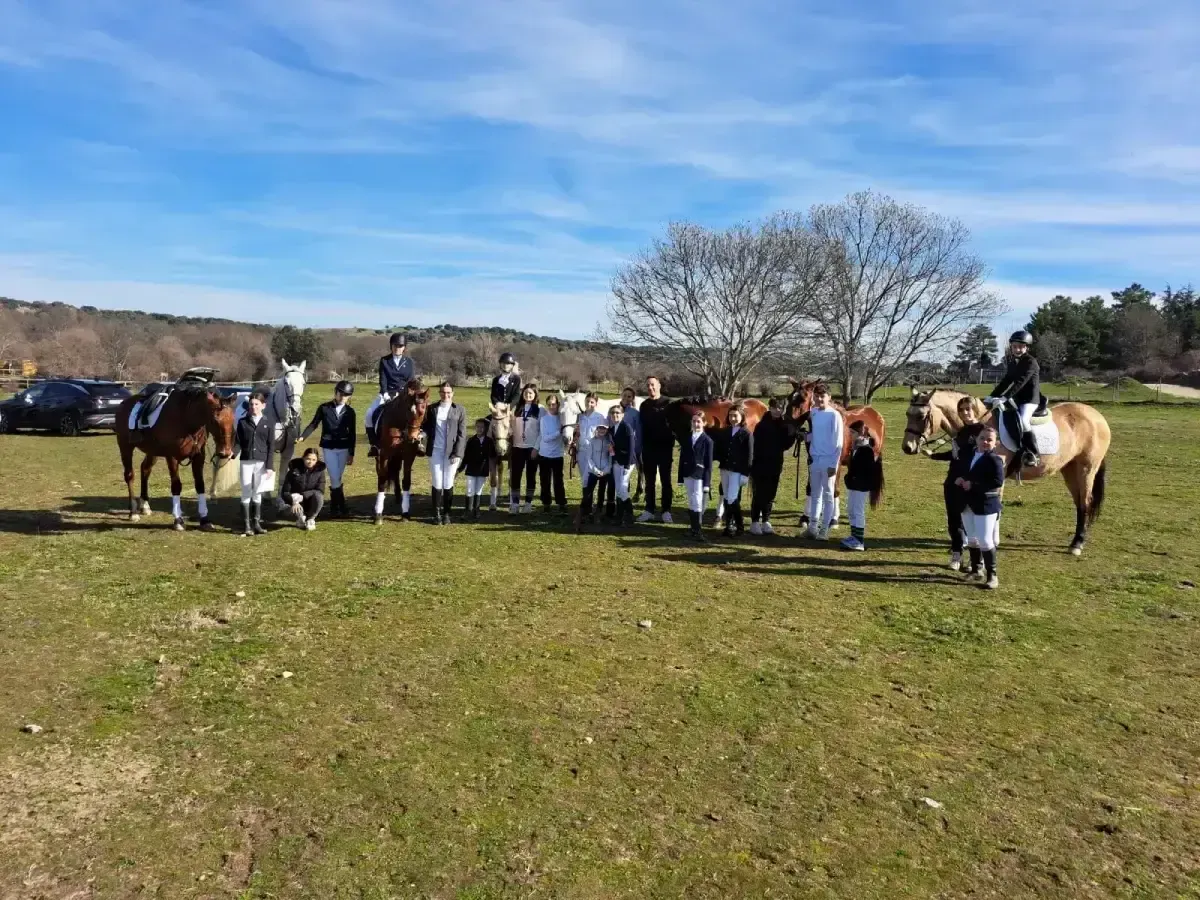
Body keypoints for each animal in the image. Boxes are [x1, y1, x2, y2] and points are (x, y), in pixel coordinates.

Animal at [115, 374, 237, 531]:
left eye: (232, 419)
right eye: (215, 420)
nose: (225, 452)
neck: (186, 419)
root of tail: (123, 404)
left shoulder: (198, 456)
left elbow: (200, 485)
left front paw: (204, 519)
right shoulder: (172, 457)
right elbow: (176, 486)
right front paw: (178, 520)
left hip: (152, 451)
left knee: (145, 469)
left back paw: (145, 505)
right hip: (125, 447)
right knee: (129, 475)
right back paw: (133, 512)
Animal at [373, 380, 430, 523]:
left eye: (423, 411)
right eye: (408, 410)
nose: (412, 438)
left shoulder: (409, 455)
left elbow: (406, 481)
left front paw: (405, 513)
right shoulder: (384, 454)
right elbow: (382, 480)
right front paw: (378, 515)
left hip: (398, 456)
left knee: (396, 472)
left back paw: (399, 497)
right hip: (380, 456)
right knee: (383, 473)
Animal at [901, 388, 1110, 555]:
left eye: (921, 416)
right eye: (907, 414)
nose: (907, 447)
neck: (980, 426)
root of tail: (1097, 416)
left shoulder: (994, 478)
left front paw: (990, 541)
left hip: (1086, 469)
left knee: (1085, 502)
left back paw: (1077, 544)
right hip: (1070, 469)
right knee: (1079, 503)